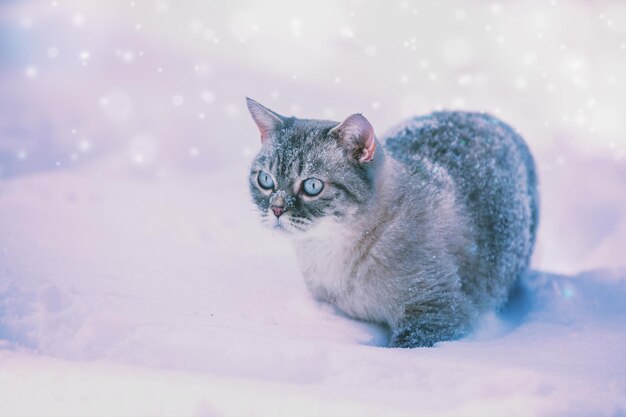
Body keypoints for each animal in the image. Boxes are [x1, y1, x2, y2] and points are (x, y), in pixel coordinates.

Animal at [244, 97, 536, 348]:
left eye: (312, 186)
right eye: (266, 181)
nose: (276, 209)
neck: (330, 253)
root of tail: (483, 115)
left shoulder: (434, 314)